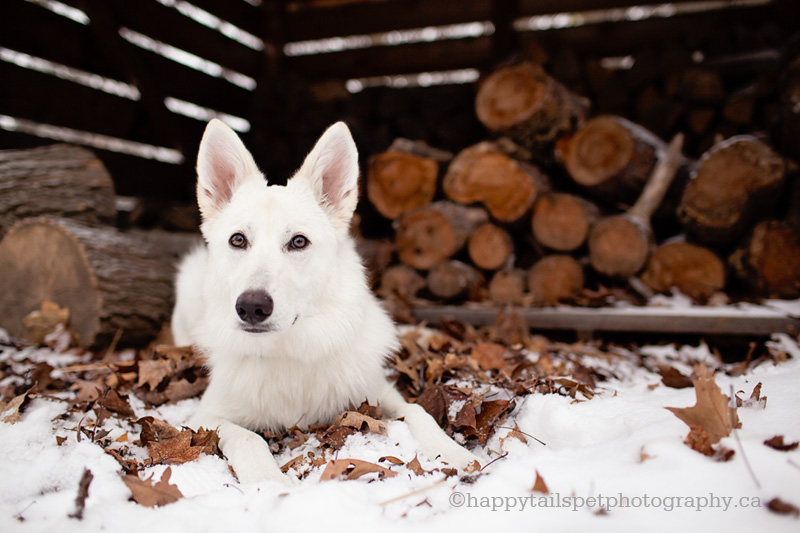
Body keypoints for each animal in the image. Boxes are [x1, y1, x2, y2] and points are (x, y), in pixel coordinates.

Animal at [171, 119, 478, 482]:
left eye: (298, 242)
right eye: (238, 240)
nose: (251, 307)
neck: (290, 351)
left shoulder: (376, 391)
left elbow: (418, 411)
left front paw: (454, 454)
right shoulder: (205, 417)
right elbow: (247, 438)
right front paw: (267, 482)